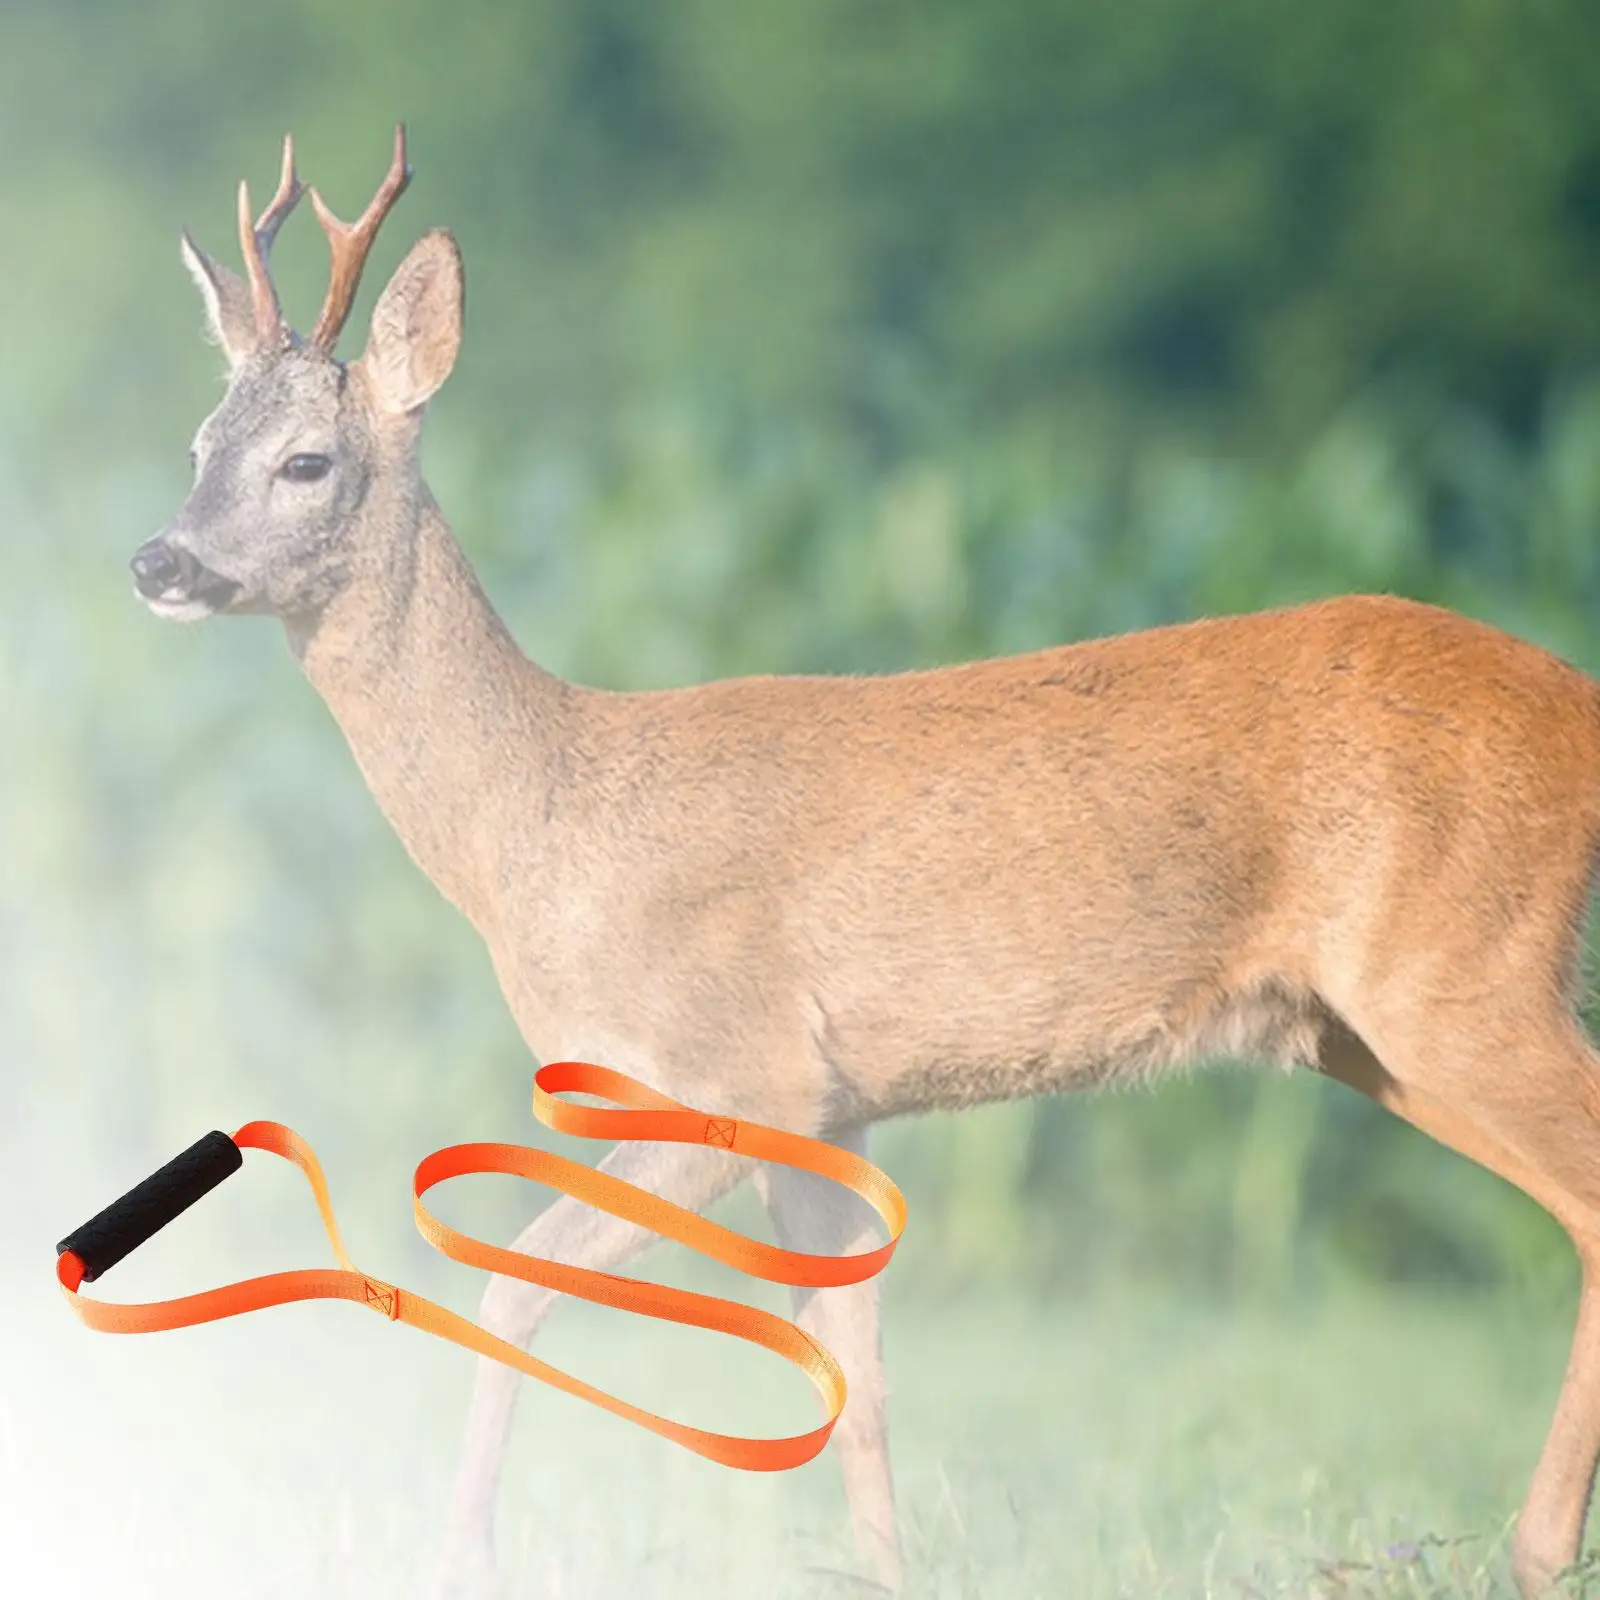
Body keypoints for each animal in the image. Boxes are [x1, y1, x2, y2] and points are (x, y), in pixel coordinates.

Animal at [129, 124, 1600, 1599]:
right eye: (198, 443)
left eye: (306, 461)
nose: (156, 559)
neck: (543, 822)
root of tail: (1577, 702)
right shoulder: (832, 1108)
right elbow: (854, 1377)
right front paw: (887, 1571)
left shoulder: (740, 1069)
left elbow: (517, 1282)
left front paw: (465, 1554)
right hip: (1362, 1032)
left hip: (1461, 972)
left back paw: (1533, 1550)